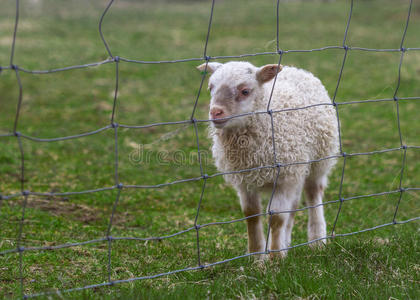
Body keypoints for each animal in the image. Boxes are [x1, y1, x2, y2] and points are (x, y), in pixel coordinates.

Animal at [196, 61, 338, 258]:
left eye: (245, 91)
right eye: (211, 88)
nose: (215, 112)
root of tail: (295, 69)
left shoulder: (283, 177)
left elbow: (276, 217)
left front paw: (275, 257)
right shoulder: (245, 180)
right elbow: (252, 215)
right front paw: (257, 256)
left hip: (319, 160)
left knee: (313, 195)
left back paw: (317, 241)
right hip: (297, 170)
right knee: (293, 205)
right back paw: (287, 243)